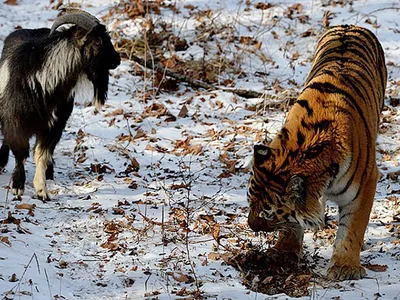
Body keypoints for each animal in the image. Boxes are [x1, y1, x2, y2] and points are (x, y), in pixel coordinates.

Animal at [0, 8, 121, 200]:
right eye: (98, 40)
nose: (117, 59)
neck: (43, 80)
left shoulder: (54, 125)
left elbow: (41, 154)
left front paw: (42, 190)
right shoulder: (16, 120)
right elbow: (20, 152)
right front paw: (18, 186)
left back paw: (49, 172)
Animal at [247, 24, 388, 282]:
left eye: (268, 214)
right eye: (249, 200)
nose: (251, 226)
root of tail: (351, 25)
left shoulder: (365, 184)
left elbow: (352, 228)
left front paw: (344, 266)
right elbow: (294, 224)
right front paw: (284, 252)